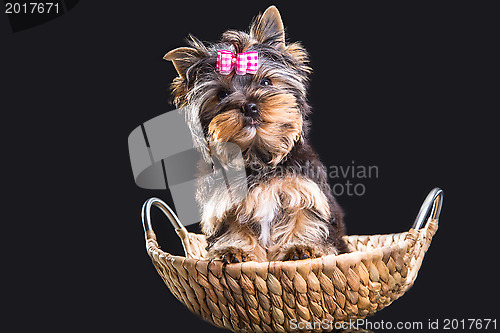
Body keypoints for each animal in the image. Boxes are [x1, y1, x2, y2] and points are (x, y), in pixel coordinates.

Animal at [164, 5, 348, 262]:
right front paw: (234, 249)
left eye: (266, 82)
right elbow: (233, 226)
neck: (257, 154)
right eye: (222, 95)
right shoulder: (225, 201)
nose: (249, 106)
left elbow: (304, 217)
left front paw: (301, 247)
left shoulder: (303, 188)